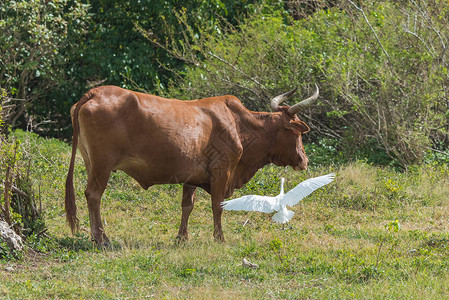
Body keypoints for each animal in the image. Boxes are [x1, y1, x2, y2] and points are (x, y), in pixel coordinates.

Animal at [65, 84, 318, 244]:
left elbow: (187, 206)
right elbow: (218, 206)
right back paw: (101, 238)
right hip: (102, 165)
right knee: (94, 195)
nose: (304, 160)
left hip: (91, 163)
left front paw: (181, 237)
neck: (240, 125)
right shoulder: (222, 173)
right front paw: (219, 238)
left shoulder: (192, 177)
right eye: (297, 132)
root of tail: (95, 92)